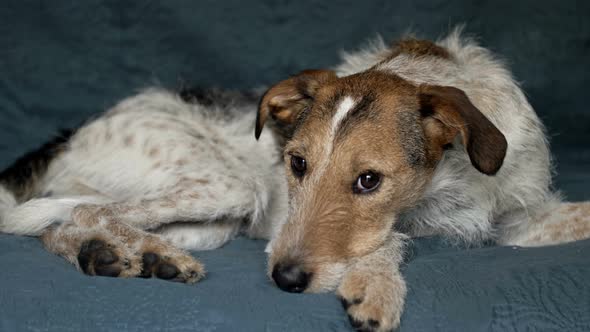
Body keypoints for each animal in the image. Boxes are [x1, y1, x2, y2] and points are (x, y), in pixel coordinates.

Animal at [0, 29, 588, 332]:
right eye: (297, 164)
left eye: (368, 180)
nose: (283, 279)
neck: (457, 177)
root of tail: (71, 133)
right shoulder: (395, 228)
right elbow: (390, 242)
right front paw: (376, 289)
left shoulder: (520, 220)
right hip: (227, 187)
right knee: (83, 212)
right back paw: (133, 256)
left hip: (212, 222)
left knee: (57, 225)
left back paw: (123, 256)